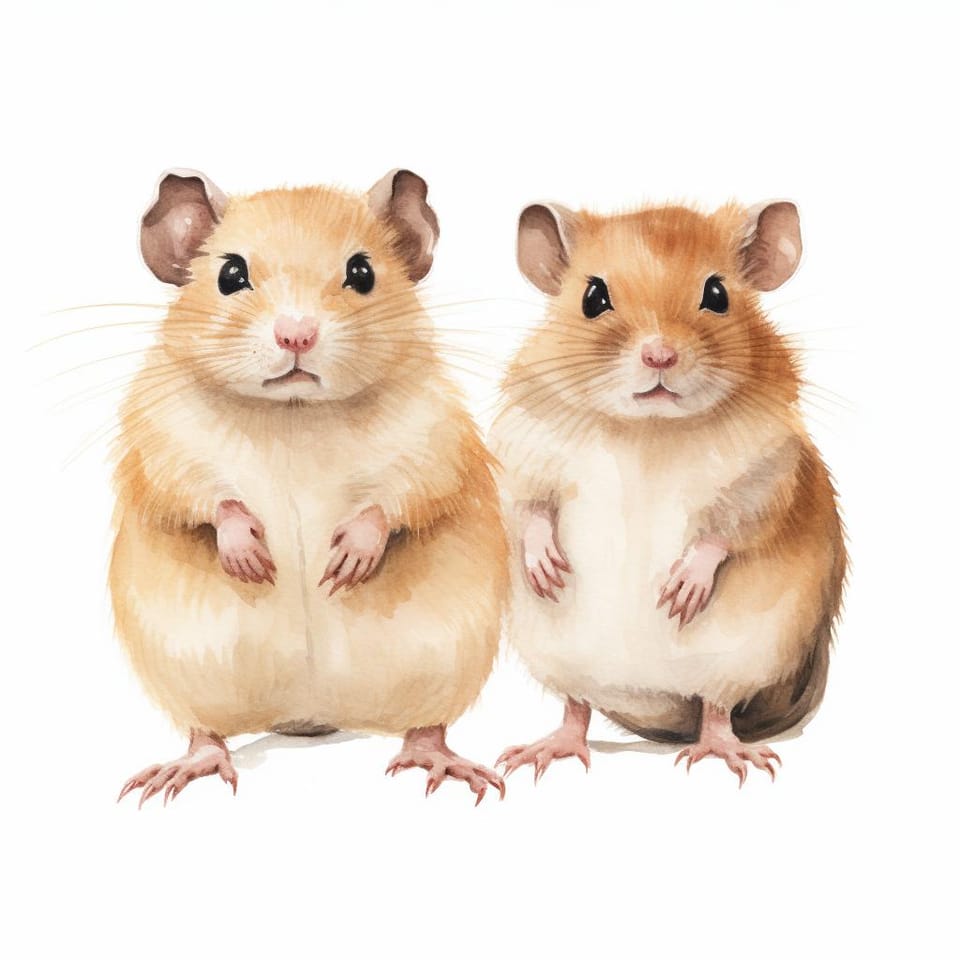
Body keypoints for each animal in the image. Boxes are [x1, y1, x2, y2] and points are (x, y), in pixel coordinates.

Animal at [113, 168, 508, 806]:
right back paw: (179, 772)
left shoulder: (436, 439)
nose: (296, 336)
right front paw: (253, 560)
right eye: (230, 275)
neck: (295, 413)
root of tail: (310, 716)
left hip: (448, 660)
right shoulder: (161, 440)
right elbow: (208, 497)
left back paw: (444, 766)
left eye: (362, 273)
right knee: (205, 732)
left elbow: (398, 498)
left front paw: (343, 564)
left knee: (427, 727)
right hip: (188, 667)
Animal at [491, 199, 846, 785]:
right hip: (560, 658)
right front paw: (548, 572)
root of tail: (650, 698)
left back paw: (730, 756)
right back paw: (542, 752)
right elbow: (531, 511)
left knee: (716, 708)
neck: (648, 429)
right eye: (593, 298)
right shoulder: (522, 453)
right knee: (576, 707)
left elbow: (722, 532)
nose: (659, 356)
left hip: (743, 656)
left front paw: (680, 593)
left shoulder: (765, 475)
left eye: (717, 294)